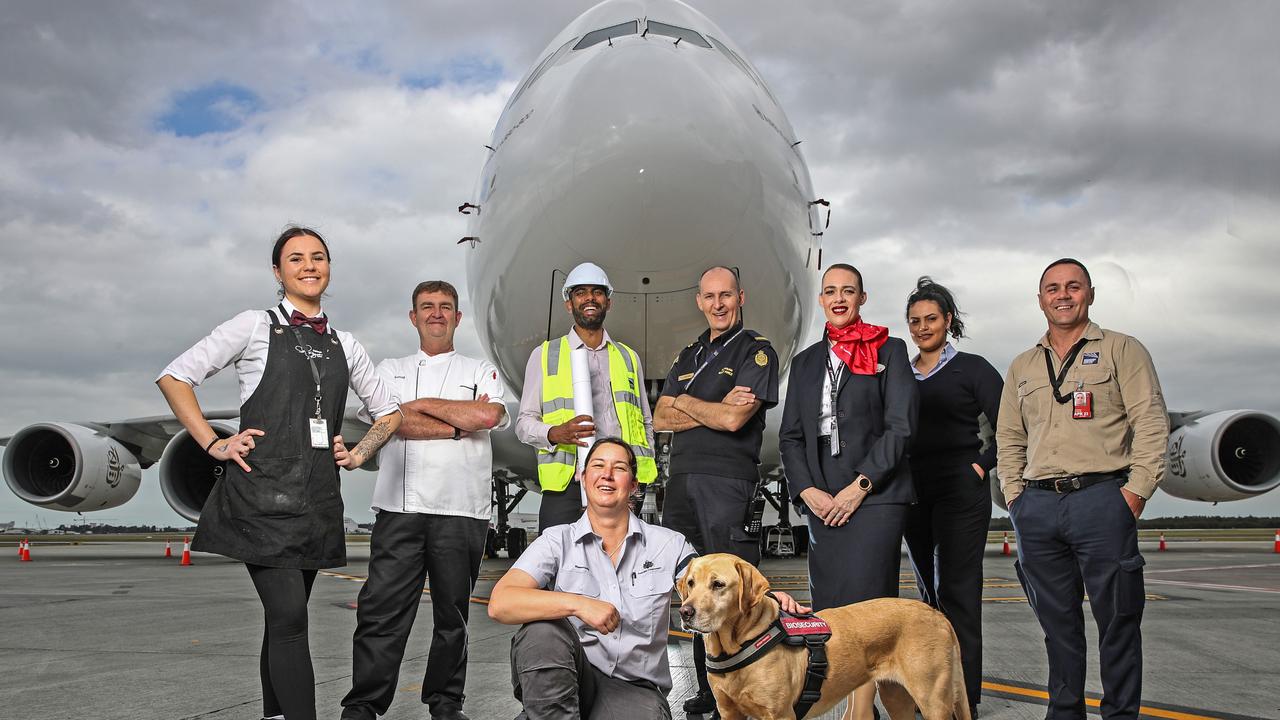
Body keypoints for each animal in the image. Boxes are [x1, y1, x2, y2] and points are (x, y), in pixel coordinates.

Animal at [680, 550, 967, 712]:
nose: (685, 612)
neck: (740, 642)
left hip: (933, 699)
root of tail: (936, 613)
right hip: (896, 697)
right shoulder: (728, 711)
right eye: (691, 583)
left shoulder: (780, 713)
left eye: (718, 584)